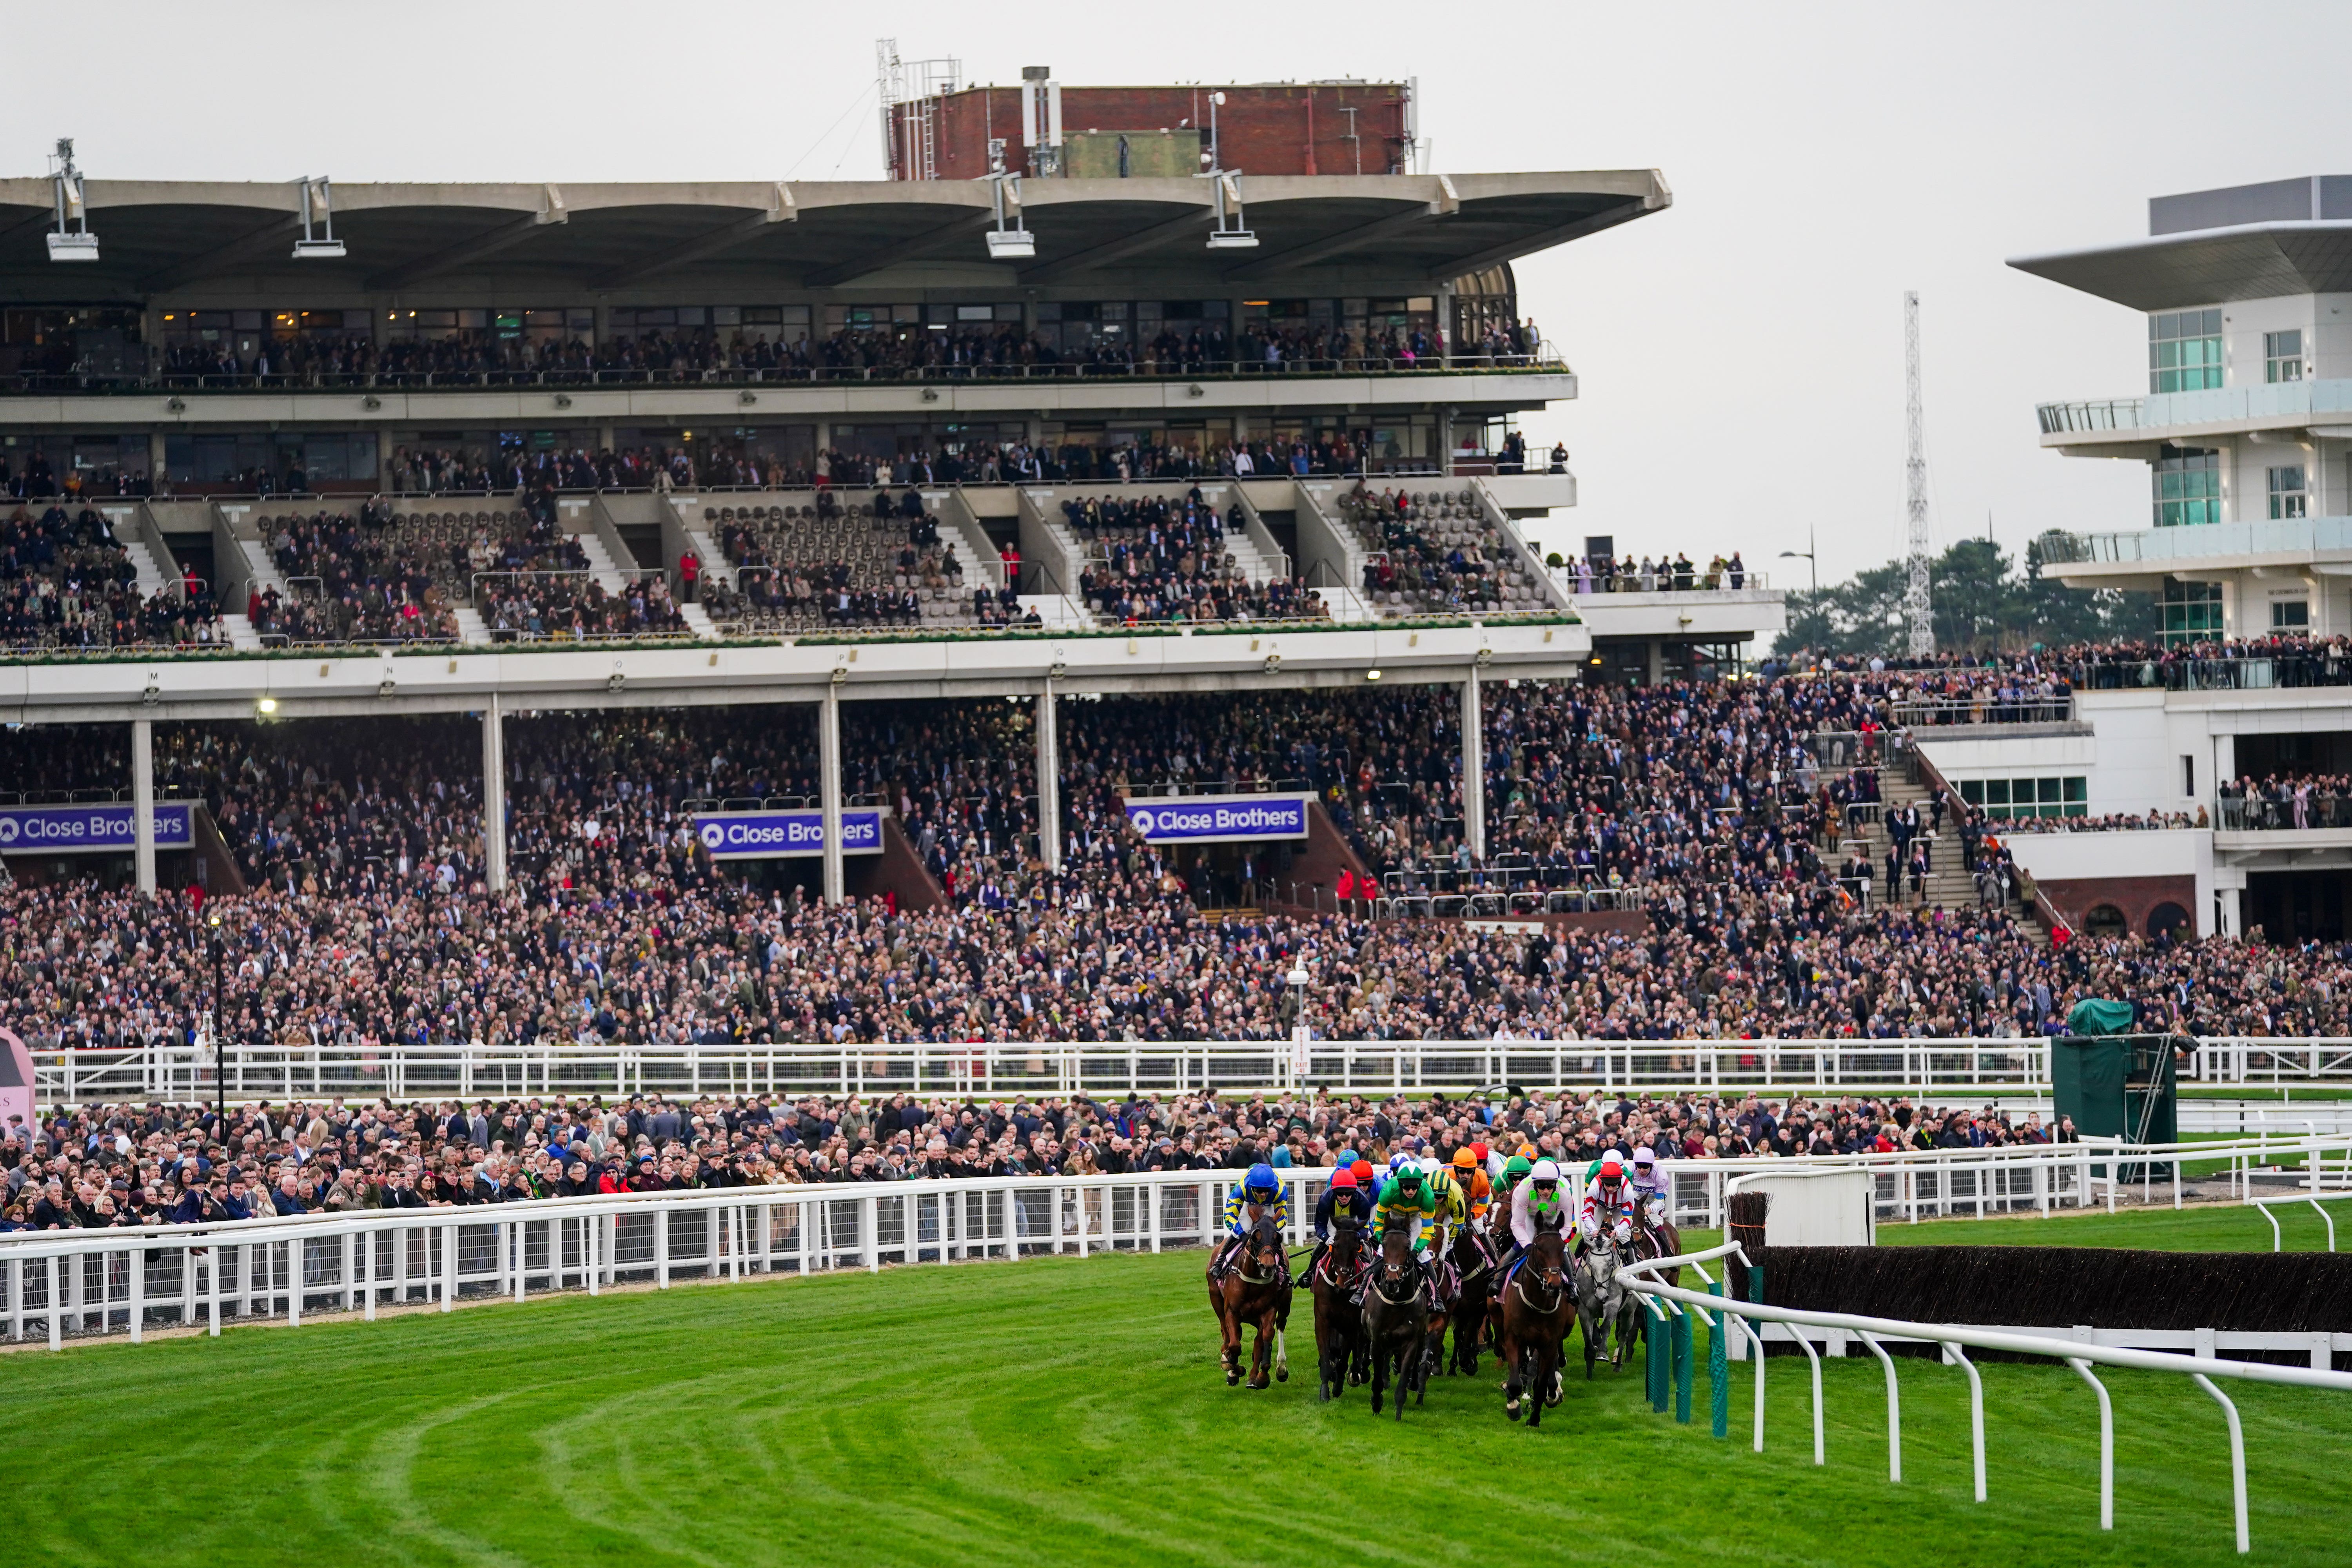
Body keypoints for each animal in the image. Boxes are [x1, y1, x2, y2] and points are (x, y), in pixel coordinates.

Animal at [1204, 1213, 1298, 1401]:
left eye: (1278, 1237)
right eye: (1256, 1236)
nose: (1268, 1266)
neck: (1253, 1279)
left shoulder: (1268, 1311)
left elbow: (1264, 1339)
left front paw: (1260, 1377)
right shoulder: (1231, 1312)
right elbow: (1234, 1345)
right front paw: (1233, 1367)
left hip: (1284, 1303)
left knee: (1276, 1328)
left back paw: (1275, 1370)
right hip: (1216, 1299)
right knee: (1227, 1333)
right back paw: (1229, 1363)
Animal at [1317, 1222, 1374, 1401]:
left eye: (1356, 1248)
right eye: (1335, 1245)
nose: (1342, 1285)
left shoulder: (1351, 1325)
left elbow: (1344, 1358)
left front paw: (1339, 1386)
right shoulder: (1323, 1322)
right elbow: (1327, 1357)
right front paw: (1325, 1393)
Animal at [1496, 1232, 1571, 1429]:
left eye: (1562, 1248)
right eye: (1538, 1248)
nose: (1554, 1285)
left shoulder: (1549, 1340)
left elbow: (1541, 1380)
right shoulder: (1512, 1336)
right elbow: (1516, 1379)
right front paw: (1514, 1404)